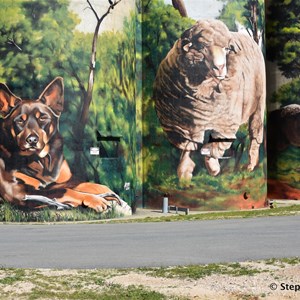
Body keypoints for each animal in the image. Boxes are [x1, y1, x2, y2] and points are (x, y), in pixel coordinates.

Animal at [0, 76, 131, 214]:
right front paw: (96, 200)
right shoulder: (18, 191)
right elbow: (66, 191)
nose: (32, 140)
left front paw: (115, 197)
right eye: (20, 120)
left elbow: (91, 185)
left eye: (43, 118)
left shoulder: (65, 181)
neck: (42, 161)